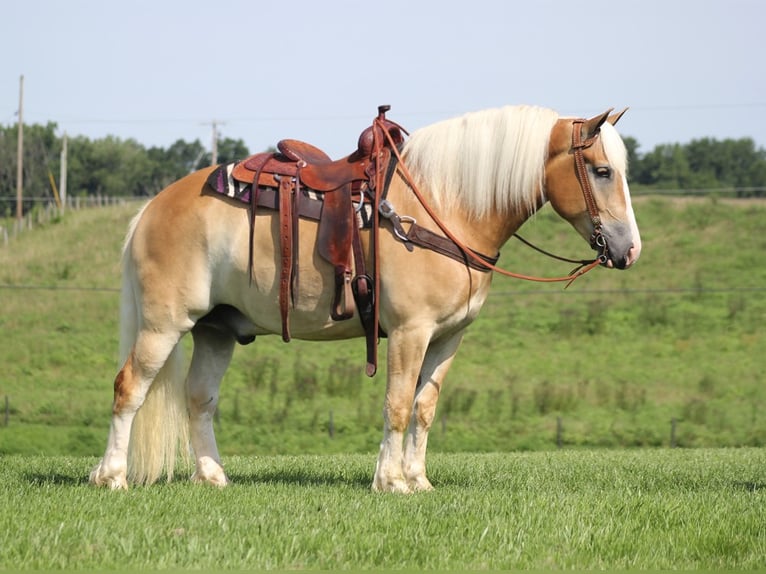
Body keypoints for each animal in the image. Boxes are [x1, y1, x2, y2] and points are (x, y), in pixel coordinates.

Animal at [88, 104, 640, 496]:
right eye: (601, 170)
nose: (629, 249)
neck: (444, 207)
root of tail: (152, 207)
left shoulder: (448, 339)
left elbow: (423, 409)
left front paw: (418, 479)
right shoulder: (409, 332)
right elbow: (396, 404)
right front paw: (390, 481)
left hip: (216, 331)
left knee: (199, 398)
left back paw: (212, 476)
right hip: (164, 325)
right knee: (128, 388)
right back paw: (112, 475)